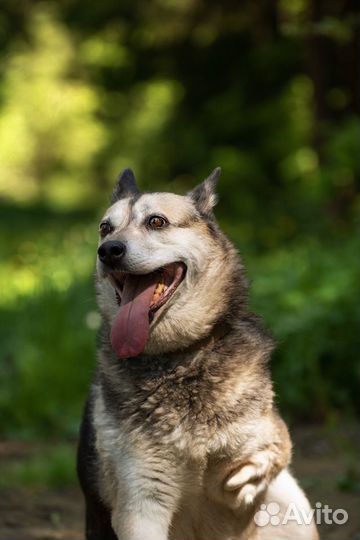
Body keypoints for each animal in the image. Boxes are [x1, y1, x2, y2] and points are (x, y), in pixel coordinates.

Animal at [76, 167, 318, 536]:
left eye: (157, 221)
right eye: (105, 228)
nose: (108, 250)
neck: (180, 358)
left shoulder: (267, 435)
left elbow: (275, 444)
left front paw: (250, 472)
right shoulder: (141, 503)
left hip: (292, 505)